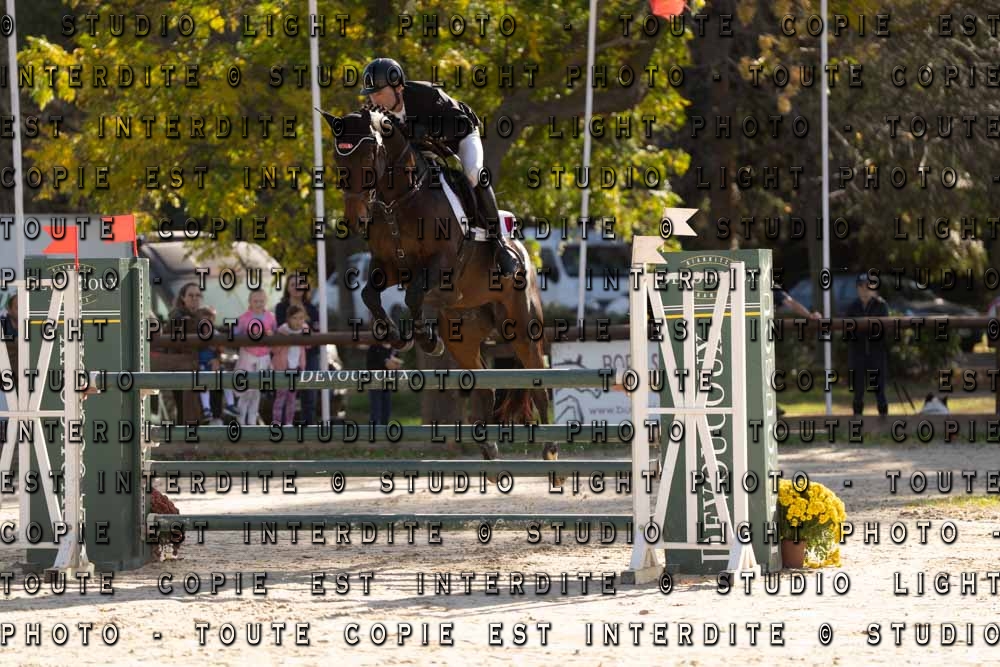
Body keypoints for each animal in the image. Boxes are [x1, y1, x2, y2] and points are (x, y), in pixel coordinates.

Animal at [320, 105, 556, 463]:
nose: (355, 219)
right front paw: (397, 336)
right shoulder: (388, 267)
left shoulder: (441, 265)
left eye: (370, 155)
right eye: (337, 159)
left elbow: (414, 296)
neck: (399, 199)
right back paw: (488, 446)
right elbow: (370, 295)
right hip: (463, 334)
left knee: (537, 377)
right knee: (485, 382)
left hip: (521, 325)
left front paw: (425, 341)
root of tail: (524, 253)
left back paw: (550, 447)